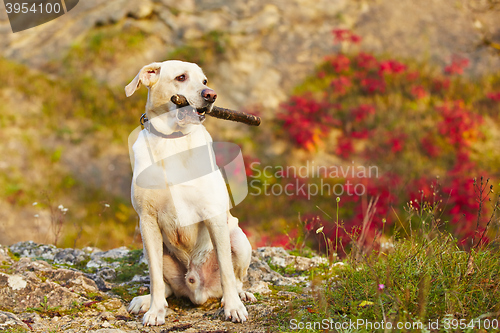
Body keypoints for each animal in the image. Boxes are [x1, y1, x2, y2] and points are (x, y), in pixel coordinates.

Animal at [125, 59, 258, 324]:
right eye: (181, 77)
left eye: (205, 81)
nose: (211, 95)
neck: (173, 139)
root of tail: (198, 290)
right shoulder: (147, 220)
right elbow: (155, 277)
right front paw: (155, 311)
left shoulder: (213, 214)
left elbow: (227, 270)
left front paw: (233, 308)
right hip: (152, 247)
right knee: (165, 284)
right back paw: (146, 301)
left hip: (238, 239)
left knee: (236, 278)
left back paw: (240, 296)